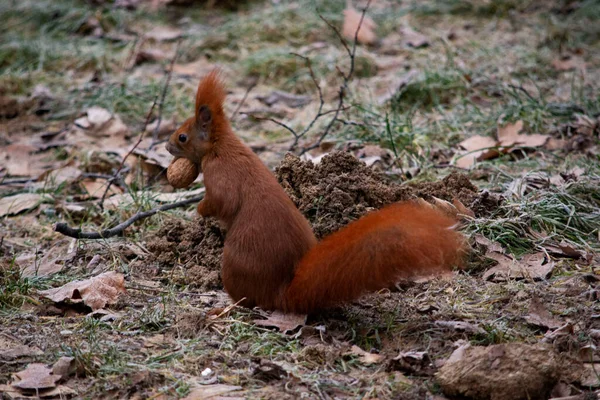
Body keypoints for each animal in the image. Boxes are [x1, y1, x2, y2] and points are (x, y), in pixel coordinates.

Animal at [166, 70, 466, 314]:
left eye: (182, 136)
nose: (166, 147)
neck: (221, 145)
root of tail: (283, 295)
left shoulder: (221, 173)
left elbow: (222, 201)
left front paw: (200, 210)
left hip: (235, 262)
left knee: (248, 300)